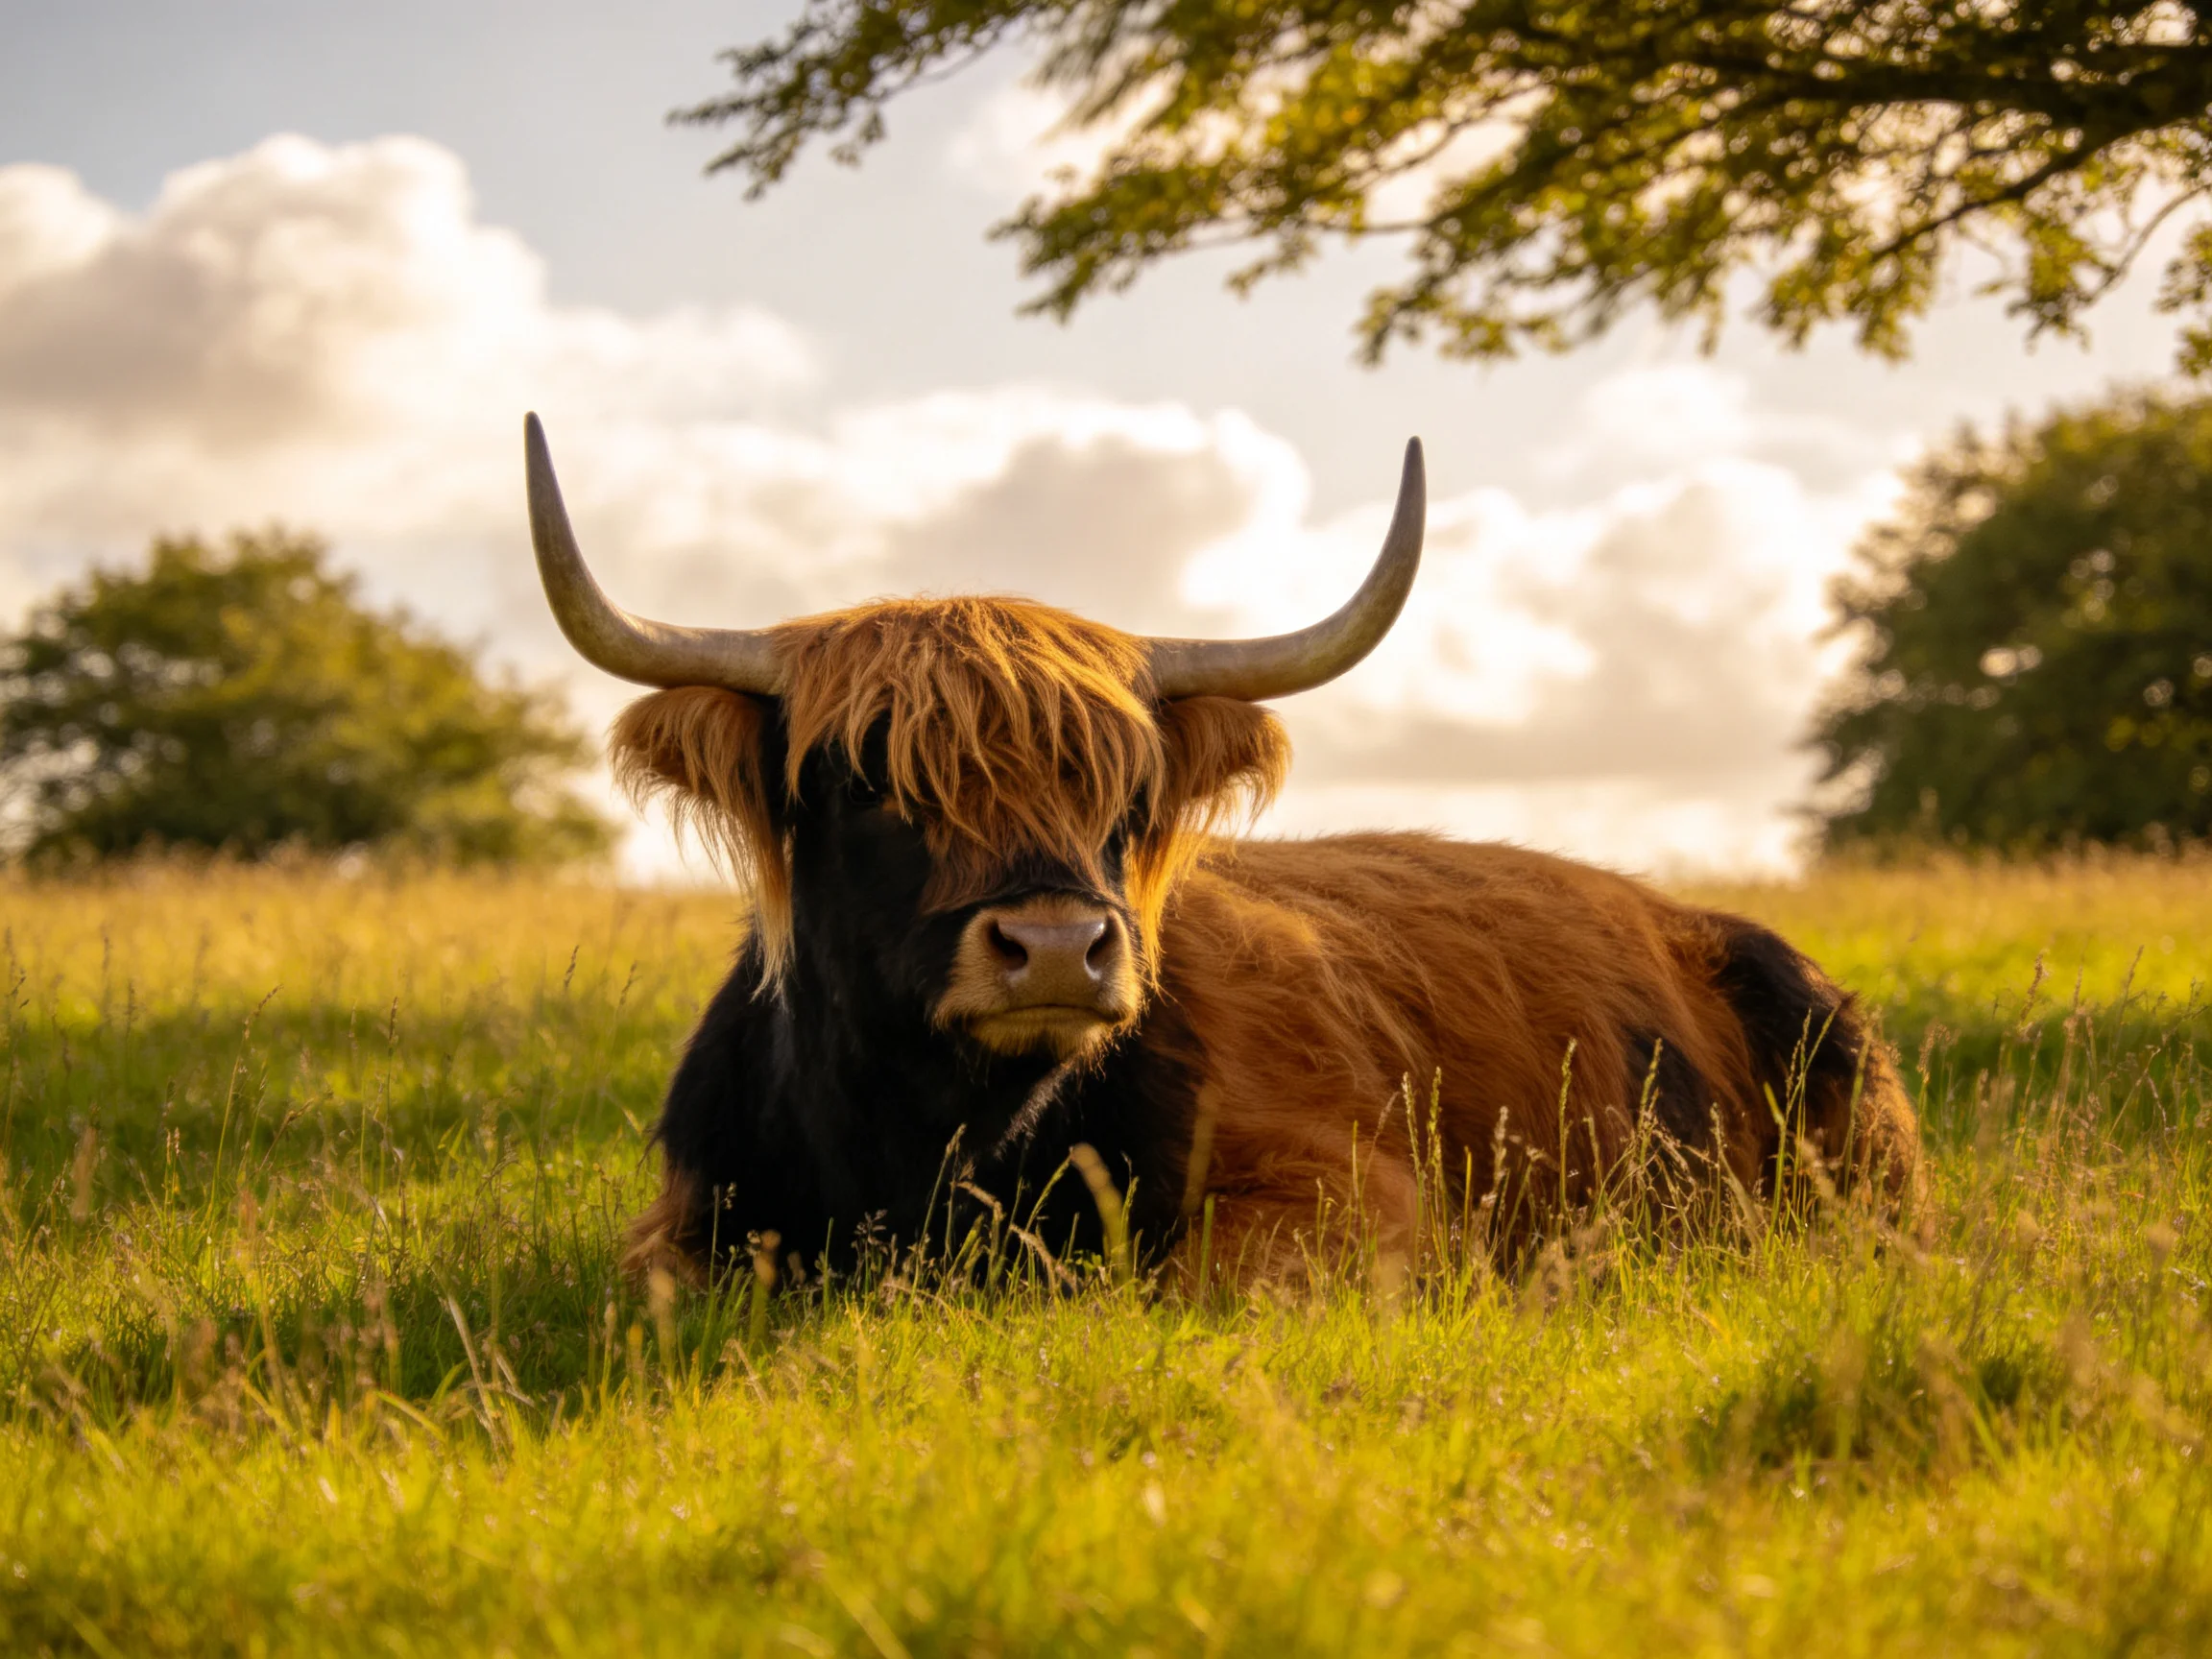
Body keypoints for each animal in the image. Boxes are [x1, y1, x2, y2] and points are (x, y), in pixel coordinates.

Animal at [522, 414, 1921, 1288]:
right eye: (866, 781)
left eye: (1128, 794)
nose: (1055, 947)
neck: (928, 1153)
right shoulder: (687, 1222)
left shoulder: (1349, 1199)